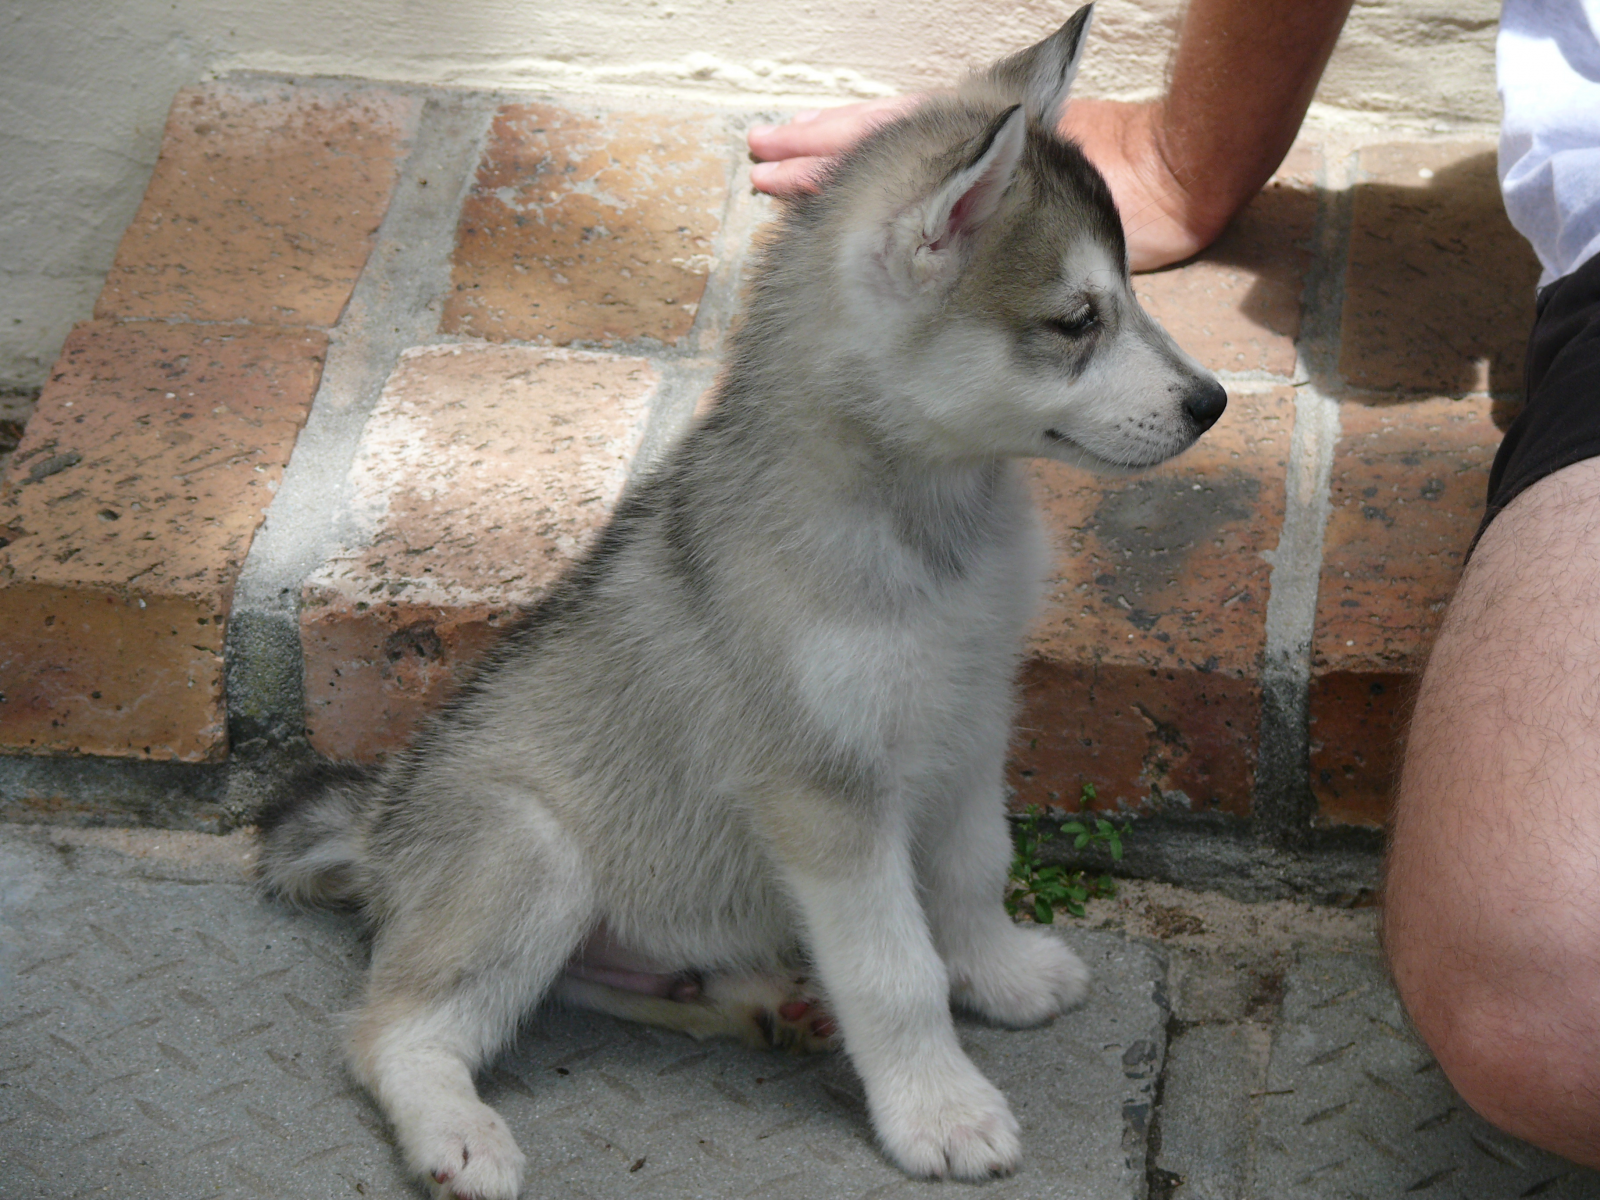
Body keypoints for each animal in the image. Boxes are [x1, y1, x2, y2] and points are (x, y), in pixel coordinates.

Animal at [256, 4, 1222, 1196]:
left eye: (1130, 296)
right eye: (1077, 319)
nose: (1213, 403)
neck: (932, 524)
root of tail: (380, 831)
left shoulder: (969, 721)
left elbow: (970, 872)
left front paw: (996, 974)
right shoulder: (825, 796)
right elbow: (894, 967)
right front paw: (941, 1109)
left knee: (589, 980)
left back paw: (755, 1005)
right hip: (530, 856)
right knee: (393, 1030)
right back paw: (457, 1133)